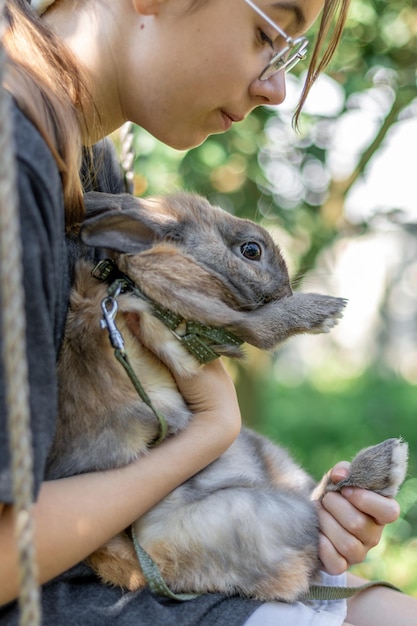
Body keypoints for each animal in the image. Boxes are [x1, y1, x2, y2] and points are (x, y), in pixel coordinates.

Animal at [48, 190, 406, 600]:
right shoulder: (192, 313)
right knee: (314, 520)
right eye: (251, 250)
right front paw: (324, 311)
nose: (287, 292)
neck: (135, 282)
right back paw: (386, 464)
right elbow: (256, 328)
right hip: (249, 512)